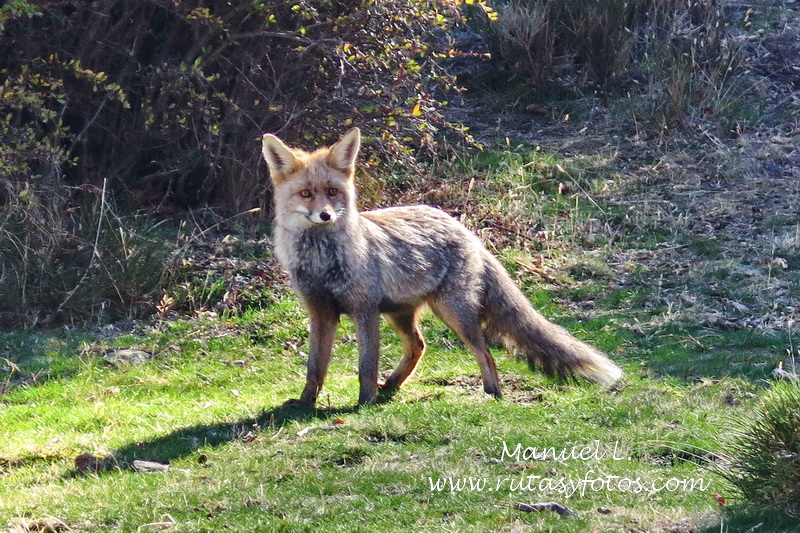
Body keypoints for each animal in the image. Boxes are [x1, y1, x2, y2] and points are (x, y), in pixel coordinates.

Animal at [262, 127, 624, 406]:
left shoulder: (364, 310)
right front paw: (305, 403)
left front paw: (364, 403)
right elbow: (315, 367)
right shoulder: (321, 313)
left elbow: (366, 366)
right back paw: (392, 386)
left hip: (452, 312)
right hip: (400, 314)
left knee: (484, 352)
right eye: (306, 194)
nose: (325, 215)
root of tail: (461, 226)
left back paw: (492, 393)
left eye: (333, 192)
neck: (322, 261)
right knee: (419, 346)